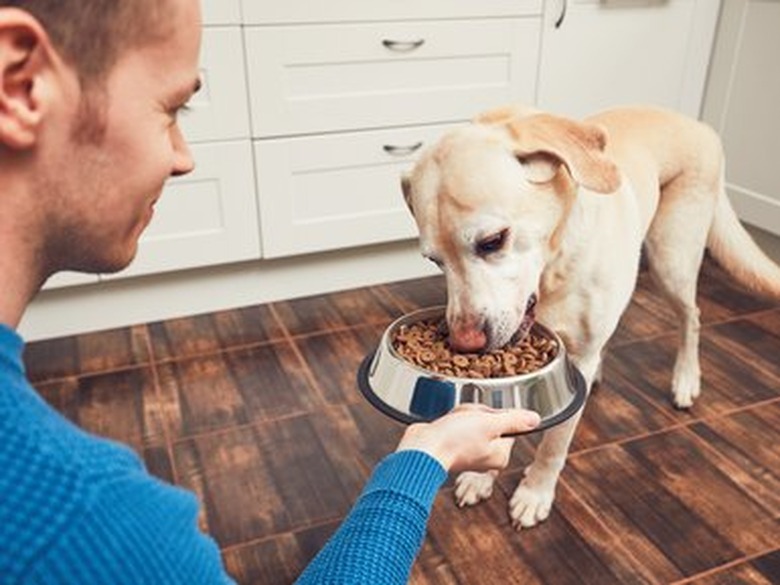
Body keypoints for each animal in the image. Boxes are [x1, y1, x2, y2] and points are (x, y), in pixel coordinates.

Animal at [402, 105, 780, 528]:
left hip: (672, 260)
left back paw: (686, 379)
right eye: (434, 261)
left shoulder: (578, 359)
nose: (464, 344)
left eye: (492, 241)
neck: (554, 266)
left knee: (692, 317)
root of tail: (697, 123)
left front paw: (535, 493)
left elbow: (555, 442)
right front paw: (482, 476)